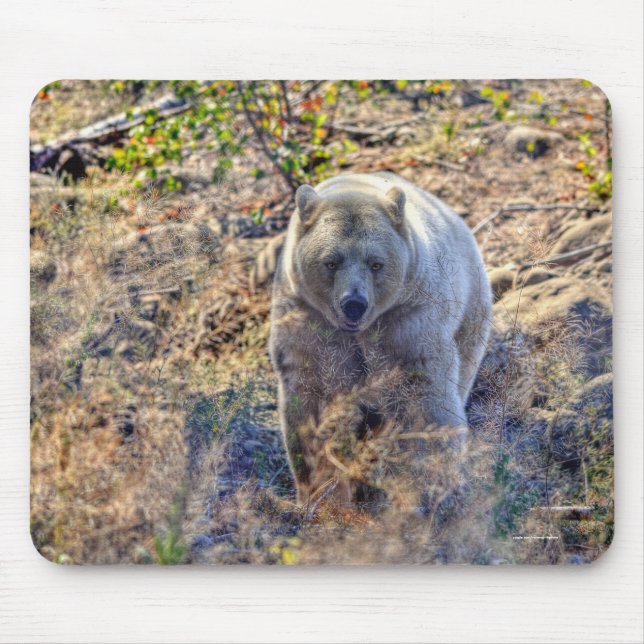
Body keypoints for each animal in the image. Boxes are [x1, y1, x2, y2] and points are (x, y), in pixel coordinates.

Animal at [269, 172, 492, 507]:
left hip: (470, 312)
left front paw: (432, 479)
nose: (354, 303)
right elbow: (314, 397)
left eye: (376, 263)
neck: (358, 331)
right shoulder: (309, 323)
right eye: (331, 262)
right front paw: (319, 489)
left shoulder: (407, 321)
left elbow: (422, 396)